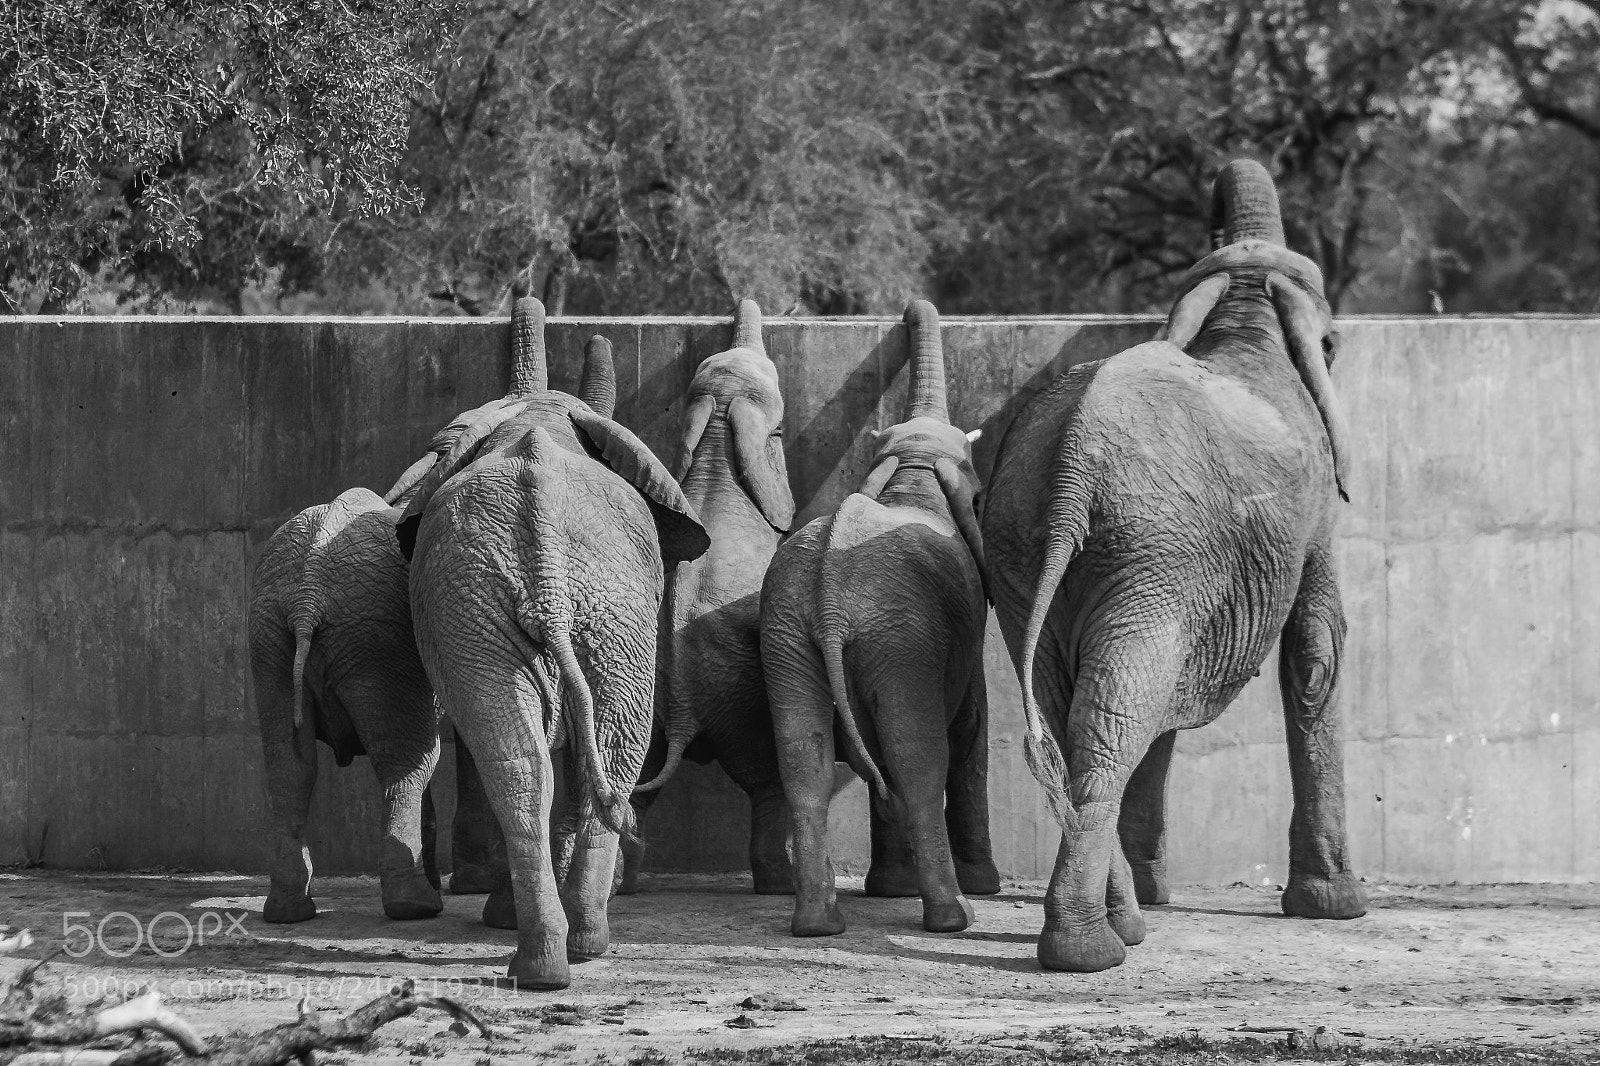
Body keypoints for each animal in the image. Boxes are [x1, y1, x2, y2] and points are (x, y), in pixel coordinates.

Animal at [247, 446, 446, 925]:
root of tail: (307, 595)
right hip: (378, 640)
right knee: (409, 762)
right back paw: (416, 907)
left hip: (271, 636)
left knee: (289, 768)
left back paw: (288, 913)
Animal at [398, 297, 710, 990]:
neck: (537, 410)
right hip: (555, 603)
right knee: (565, 754)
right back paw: (562, 953)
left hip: (574, 604)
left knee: (538, 757)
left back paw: (556, 953)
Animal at [624, 299, 797, 895]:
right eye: (780, 429)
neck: (720, 424)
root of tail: (682, 717)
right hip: (739, 695)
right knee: (766, 780)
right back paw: (780, 885)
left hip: (645, 701)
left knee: (636, 779)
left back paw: (621, 887)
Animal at [760, 299, 1000, 937]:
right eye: (979, 487)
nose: (908, 309)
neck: (913, 469)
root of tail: (827, 597)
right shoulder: (962, 633)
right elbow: (970, 732)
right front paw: (976, 887)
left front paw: (890, 890)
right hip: (900, 638)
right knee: (918, 759)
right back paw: (954, 915)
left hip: (791, 632)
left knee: (806, 759)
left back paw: (817, 925)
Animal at [980, 159, 1366, 974]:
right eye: (1335, 343)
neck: (1248, 313)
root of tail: (1071, 468)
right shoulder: (1317, 503)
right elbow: (1317, 648)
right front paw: (1337, 907)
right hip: (1149, 549)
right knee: (1114, 710)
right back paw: (1091, 951)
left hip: (1033, 550)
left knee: (1082, 705)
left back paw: (1126, 925)